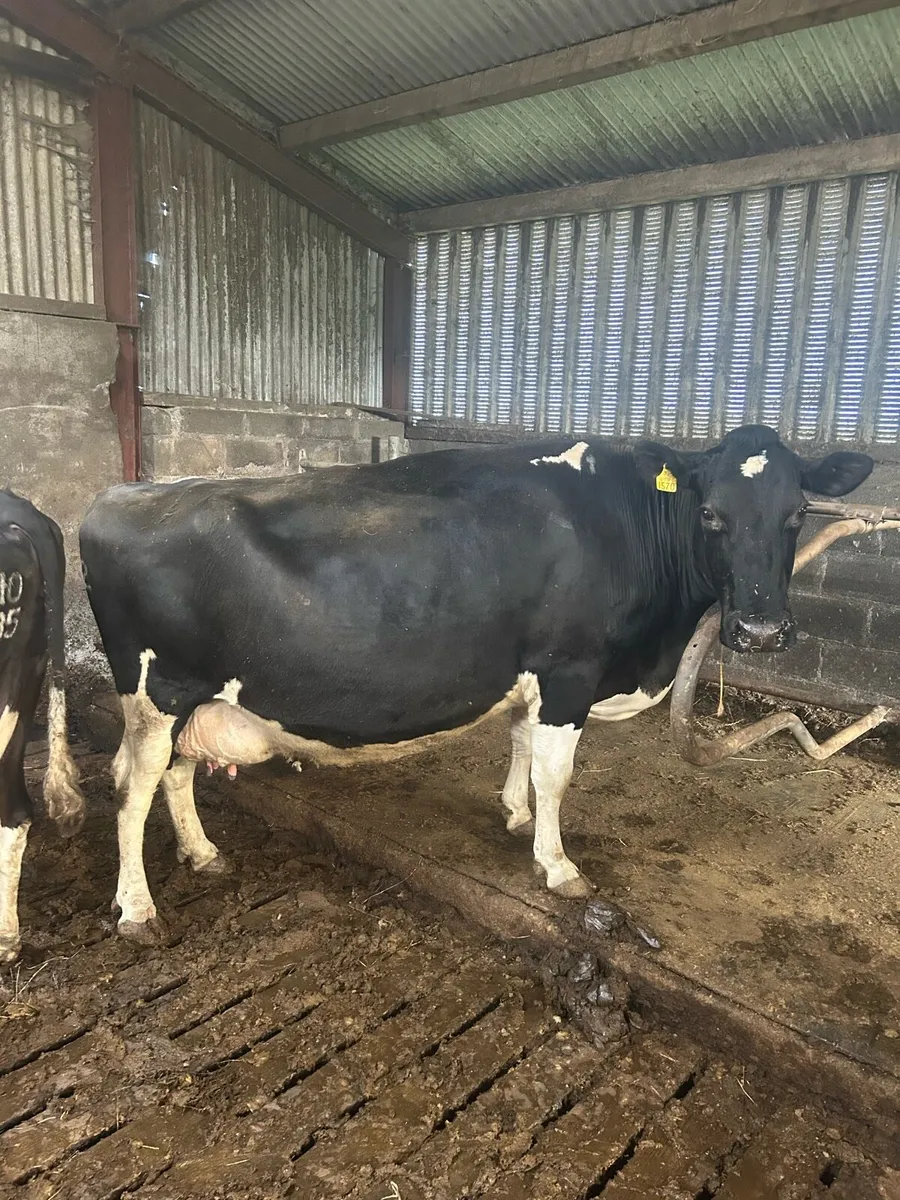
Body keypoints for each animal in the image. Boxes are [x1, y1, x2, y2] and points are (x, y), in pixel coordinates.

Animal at [79, 425, 872, 943]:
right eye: (711, 513)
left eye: (799, 513)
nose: (762, 633)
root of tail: (115, 495)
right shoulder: (568, 672)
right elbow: (557, 775)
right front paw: (557, 864)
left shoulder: (533, 675)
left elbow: (518, 741)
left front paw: (515, 813)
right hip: (156, 692)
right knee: (130, 788)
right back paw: (137, 911)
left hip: (194, 699)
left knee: (176, 776)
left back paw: (203, 854)